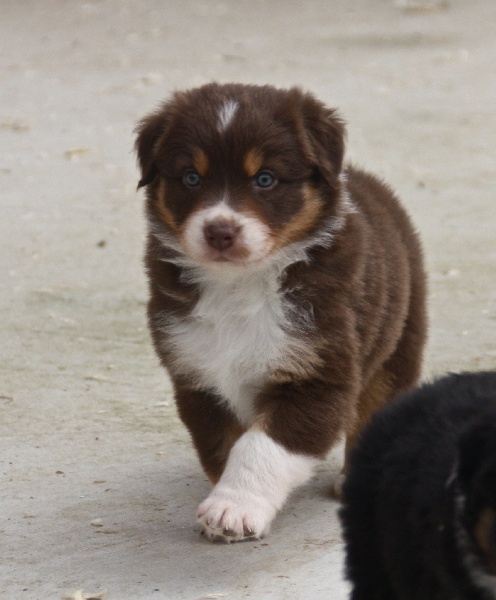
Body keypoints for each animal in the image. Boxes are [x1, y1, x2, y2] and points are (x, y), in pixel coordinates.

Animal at [134, 83, 427, 542]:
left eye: (265, 179)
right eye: (191, 177)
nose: (220, 231)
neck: (239, 286)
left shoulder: (318, 375)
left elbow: (261, 447)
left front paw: (233, 508)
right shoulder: (196, 375)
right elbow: (222, 447)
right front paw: (224, 503)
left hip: (397, 343)